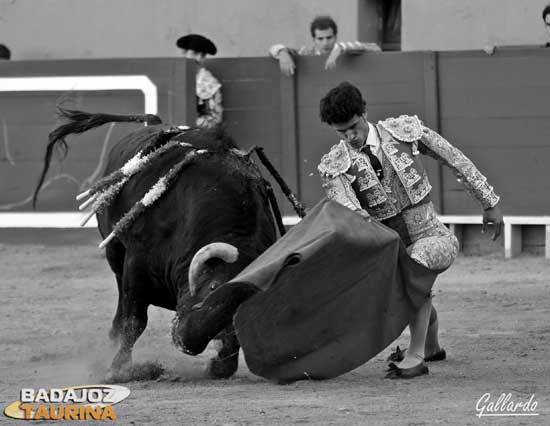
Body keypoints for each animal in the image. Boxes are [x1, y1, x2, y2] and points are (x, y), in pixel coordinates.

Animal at [34, 109, 284, 380]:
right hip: (114, 251)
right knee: (121, 297)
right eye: (212, 288)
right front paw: (118, 369)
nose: (185, 343)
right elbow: (134, 321)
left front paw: (219, 366)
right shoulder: (137, 265)